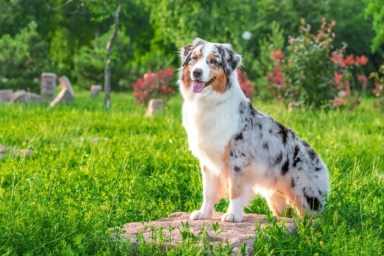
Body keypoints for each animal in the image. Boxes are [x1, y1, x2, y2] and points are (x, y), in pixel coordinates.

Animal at [178, 37, 330, 222]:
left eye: (213, 61)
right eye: (194, 58)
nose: (197, 73)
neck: (209, 102)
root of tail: (318, 158)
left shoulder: (238, 159)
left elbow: (235, 190)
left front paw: (232, 215)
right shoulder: (208, 161)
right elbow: (208, 191)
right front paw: (204, 214)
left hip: (306, 195)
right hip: (275, 198)